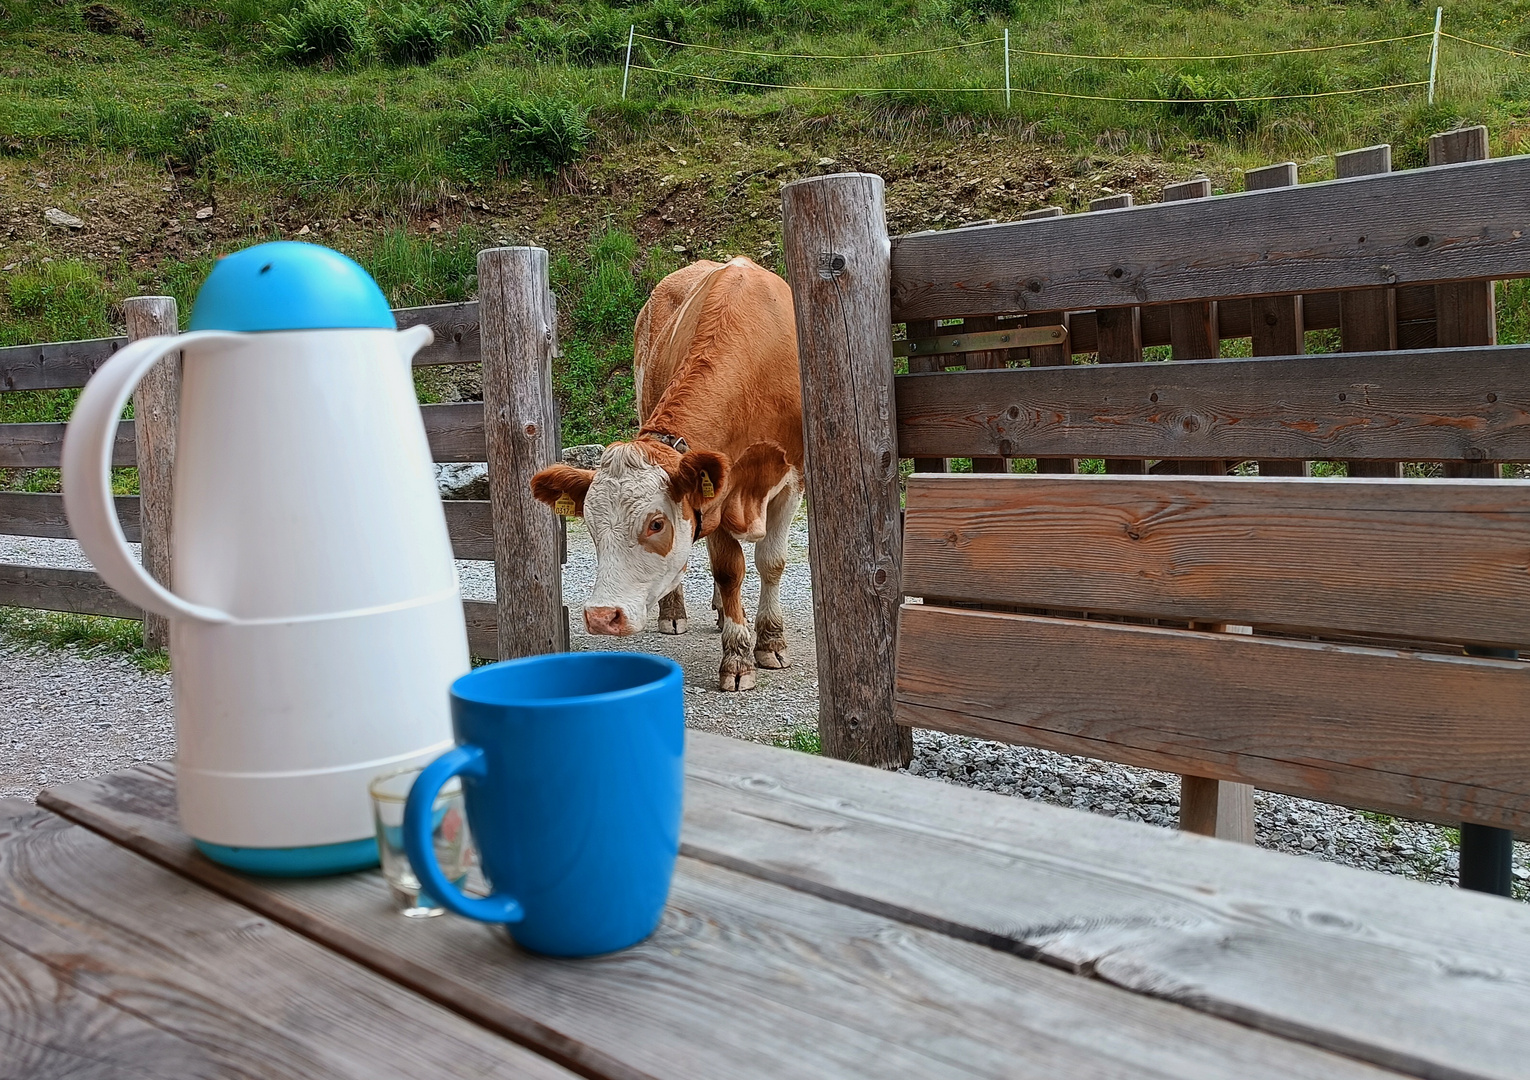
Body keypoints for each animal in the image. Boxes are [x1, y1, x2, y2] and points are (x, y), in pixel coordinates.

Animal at [532, 255, 807, 685]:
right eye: (590, 526)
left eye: (656, 524)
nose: (602, 616)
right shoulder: (717, 492)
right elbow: (729, 569)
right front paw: (737, 655)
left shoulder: (792, 478)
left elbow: (771, 562)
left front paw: (770, 641)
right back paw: (675, 611)